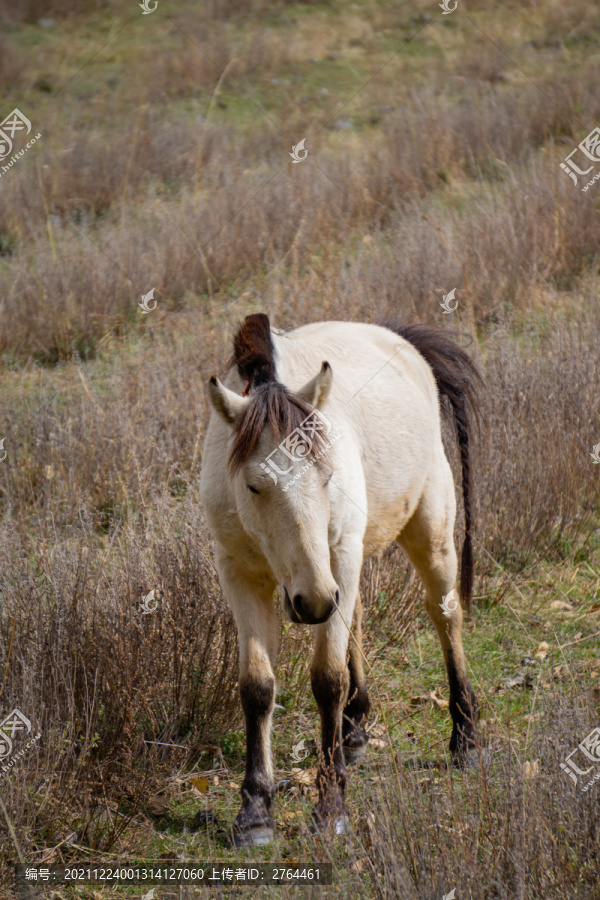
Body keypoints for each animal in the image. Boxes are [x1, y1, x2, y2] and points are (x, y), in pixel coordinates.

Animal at [200, 312, 482, 848]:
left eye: (326, 476)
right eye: (254, 485)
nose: (310, 601)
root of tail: (400, 340)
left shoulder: (339, 559)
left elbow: (327, 679)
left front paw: (330, 805)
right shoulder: (239, 574)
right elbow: (257, 687)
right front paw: (254, 811)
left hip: (425, 534)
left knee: (446, 615)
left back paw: (467, 738)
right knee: (355, 617)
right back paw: (353, 731)